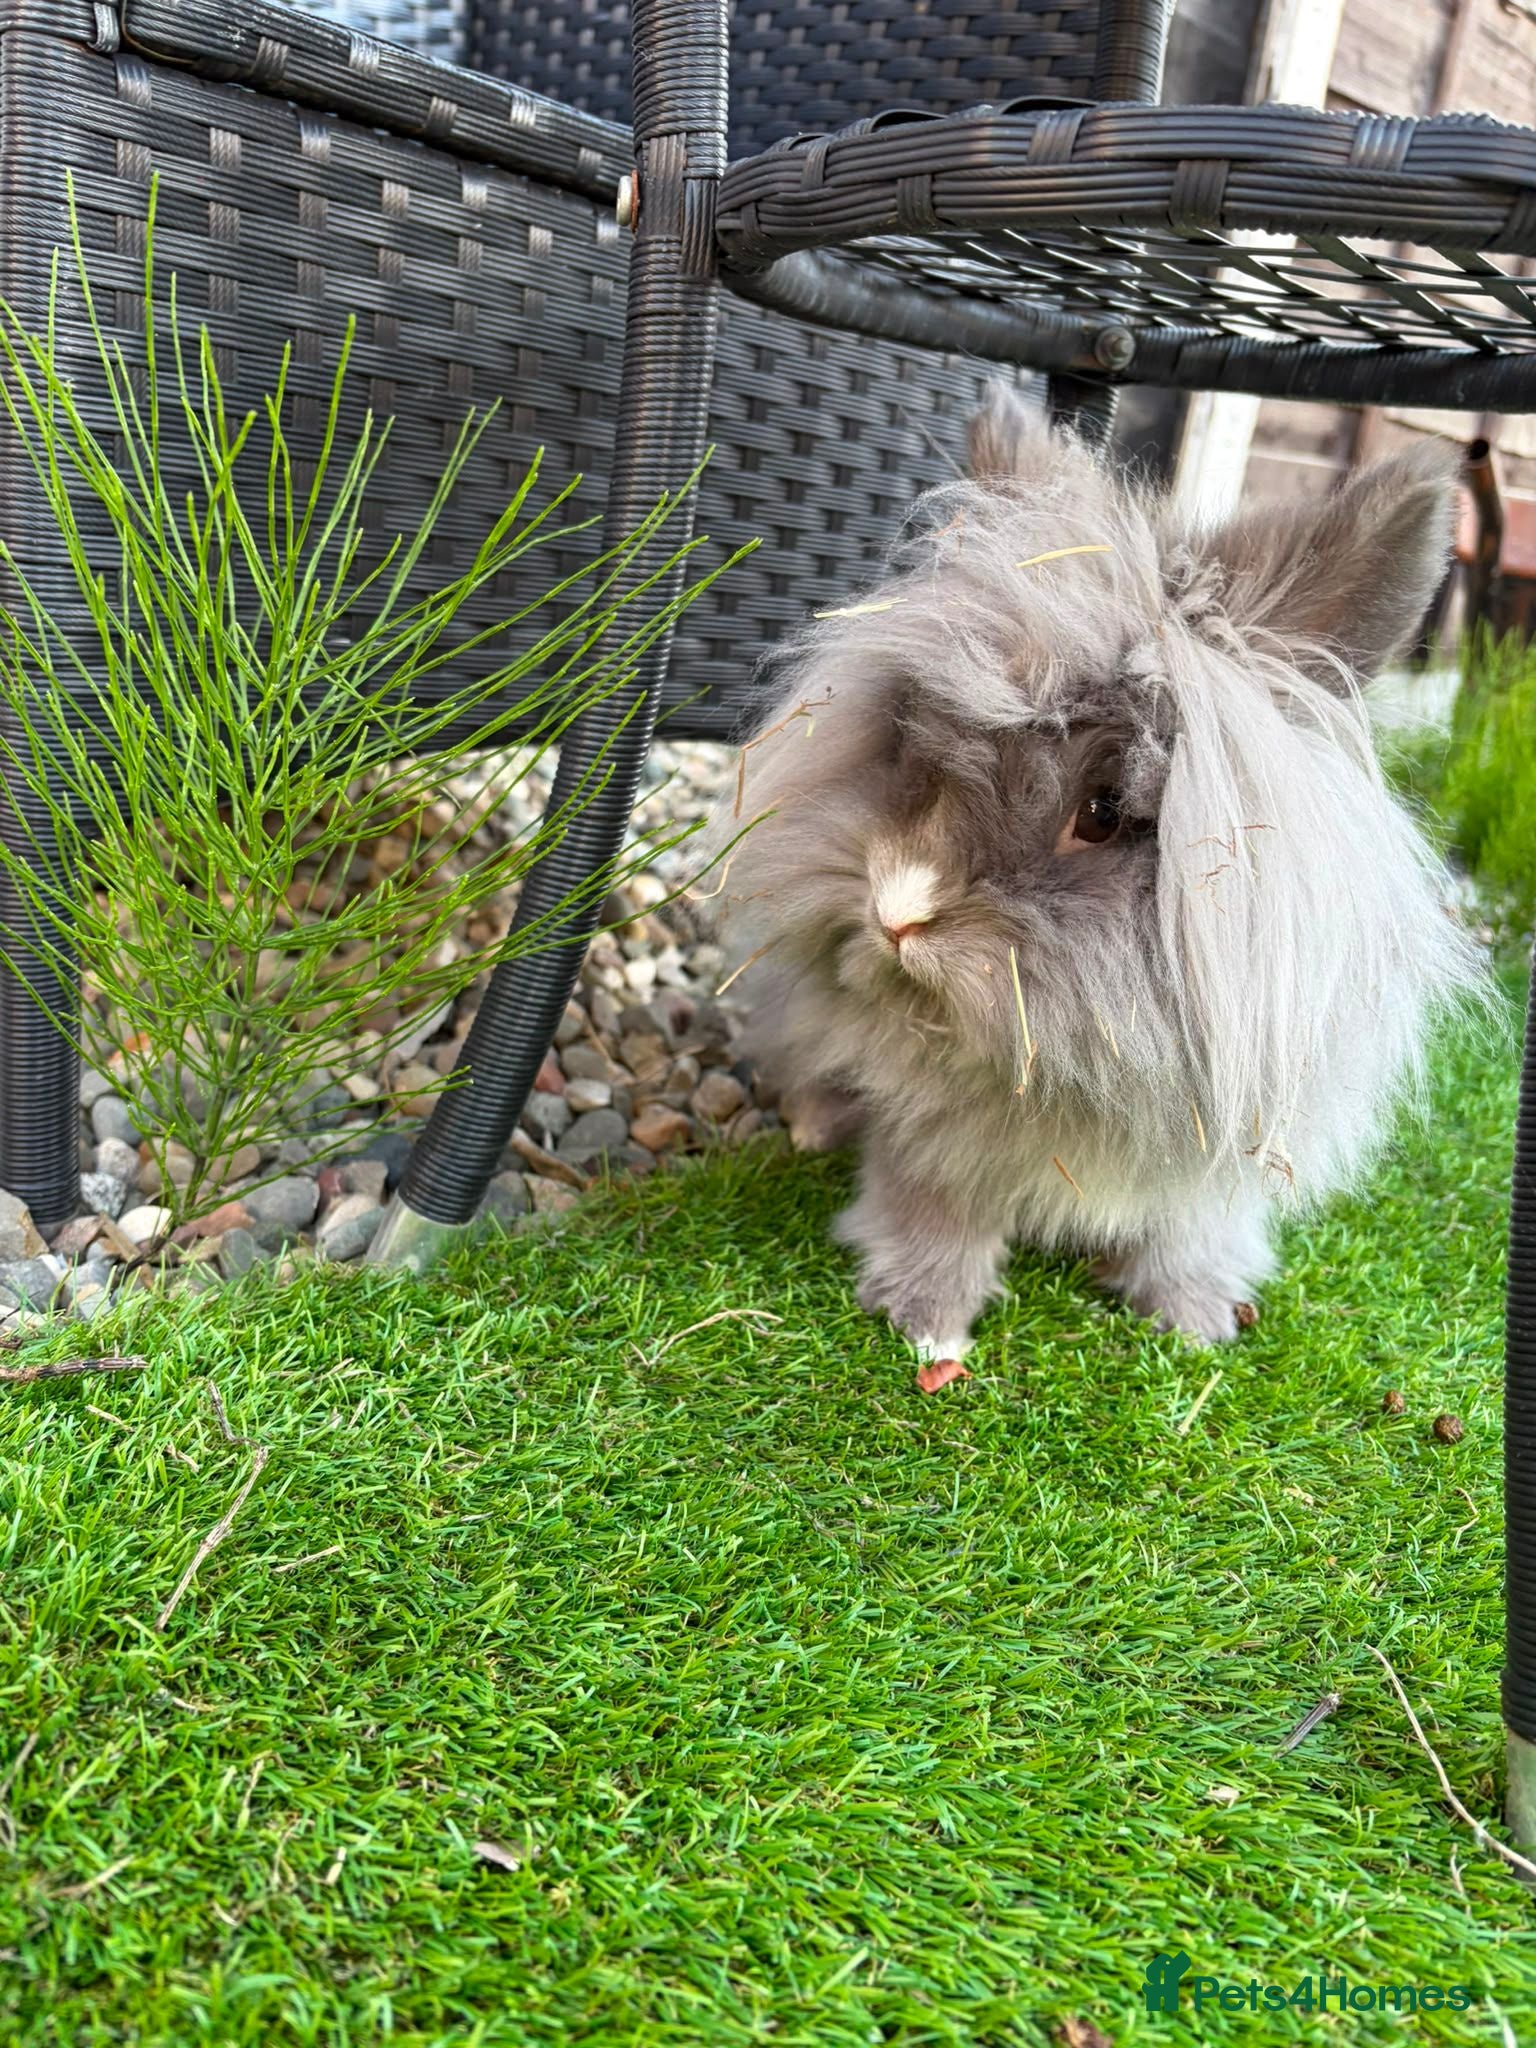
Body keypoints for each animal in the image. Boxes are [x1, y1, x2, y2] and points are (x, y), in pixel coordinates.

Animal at [709, 386, 1486, 1359]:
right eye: (908, 742)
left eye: (1105, 812)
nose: (897, 912)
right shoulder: (931, 1144)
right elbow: (932, 1214)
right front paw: (925, 1321)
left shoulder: (1214, 1168)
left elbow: (1189, 1237)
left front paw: (1195, 1321)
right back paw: (814, 1128)